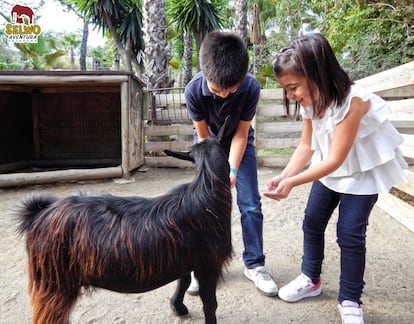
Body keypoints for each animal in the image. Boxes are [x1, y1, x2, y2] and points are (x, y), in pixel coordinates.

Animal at [17, 116, 233, 322]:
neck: (207, 193)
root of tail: (39, 214)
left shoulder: (188, 258)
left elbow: (184, 281)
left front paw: (177, 307)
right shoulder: (209, 264)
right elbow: (210, 304)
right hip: (54, 283)